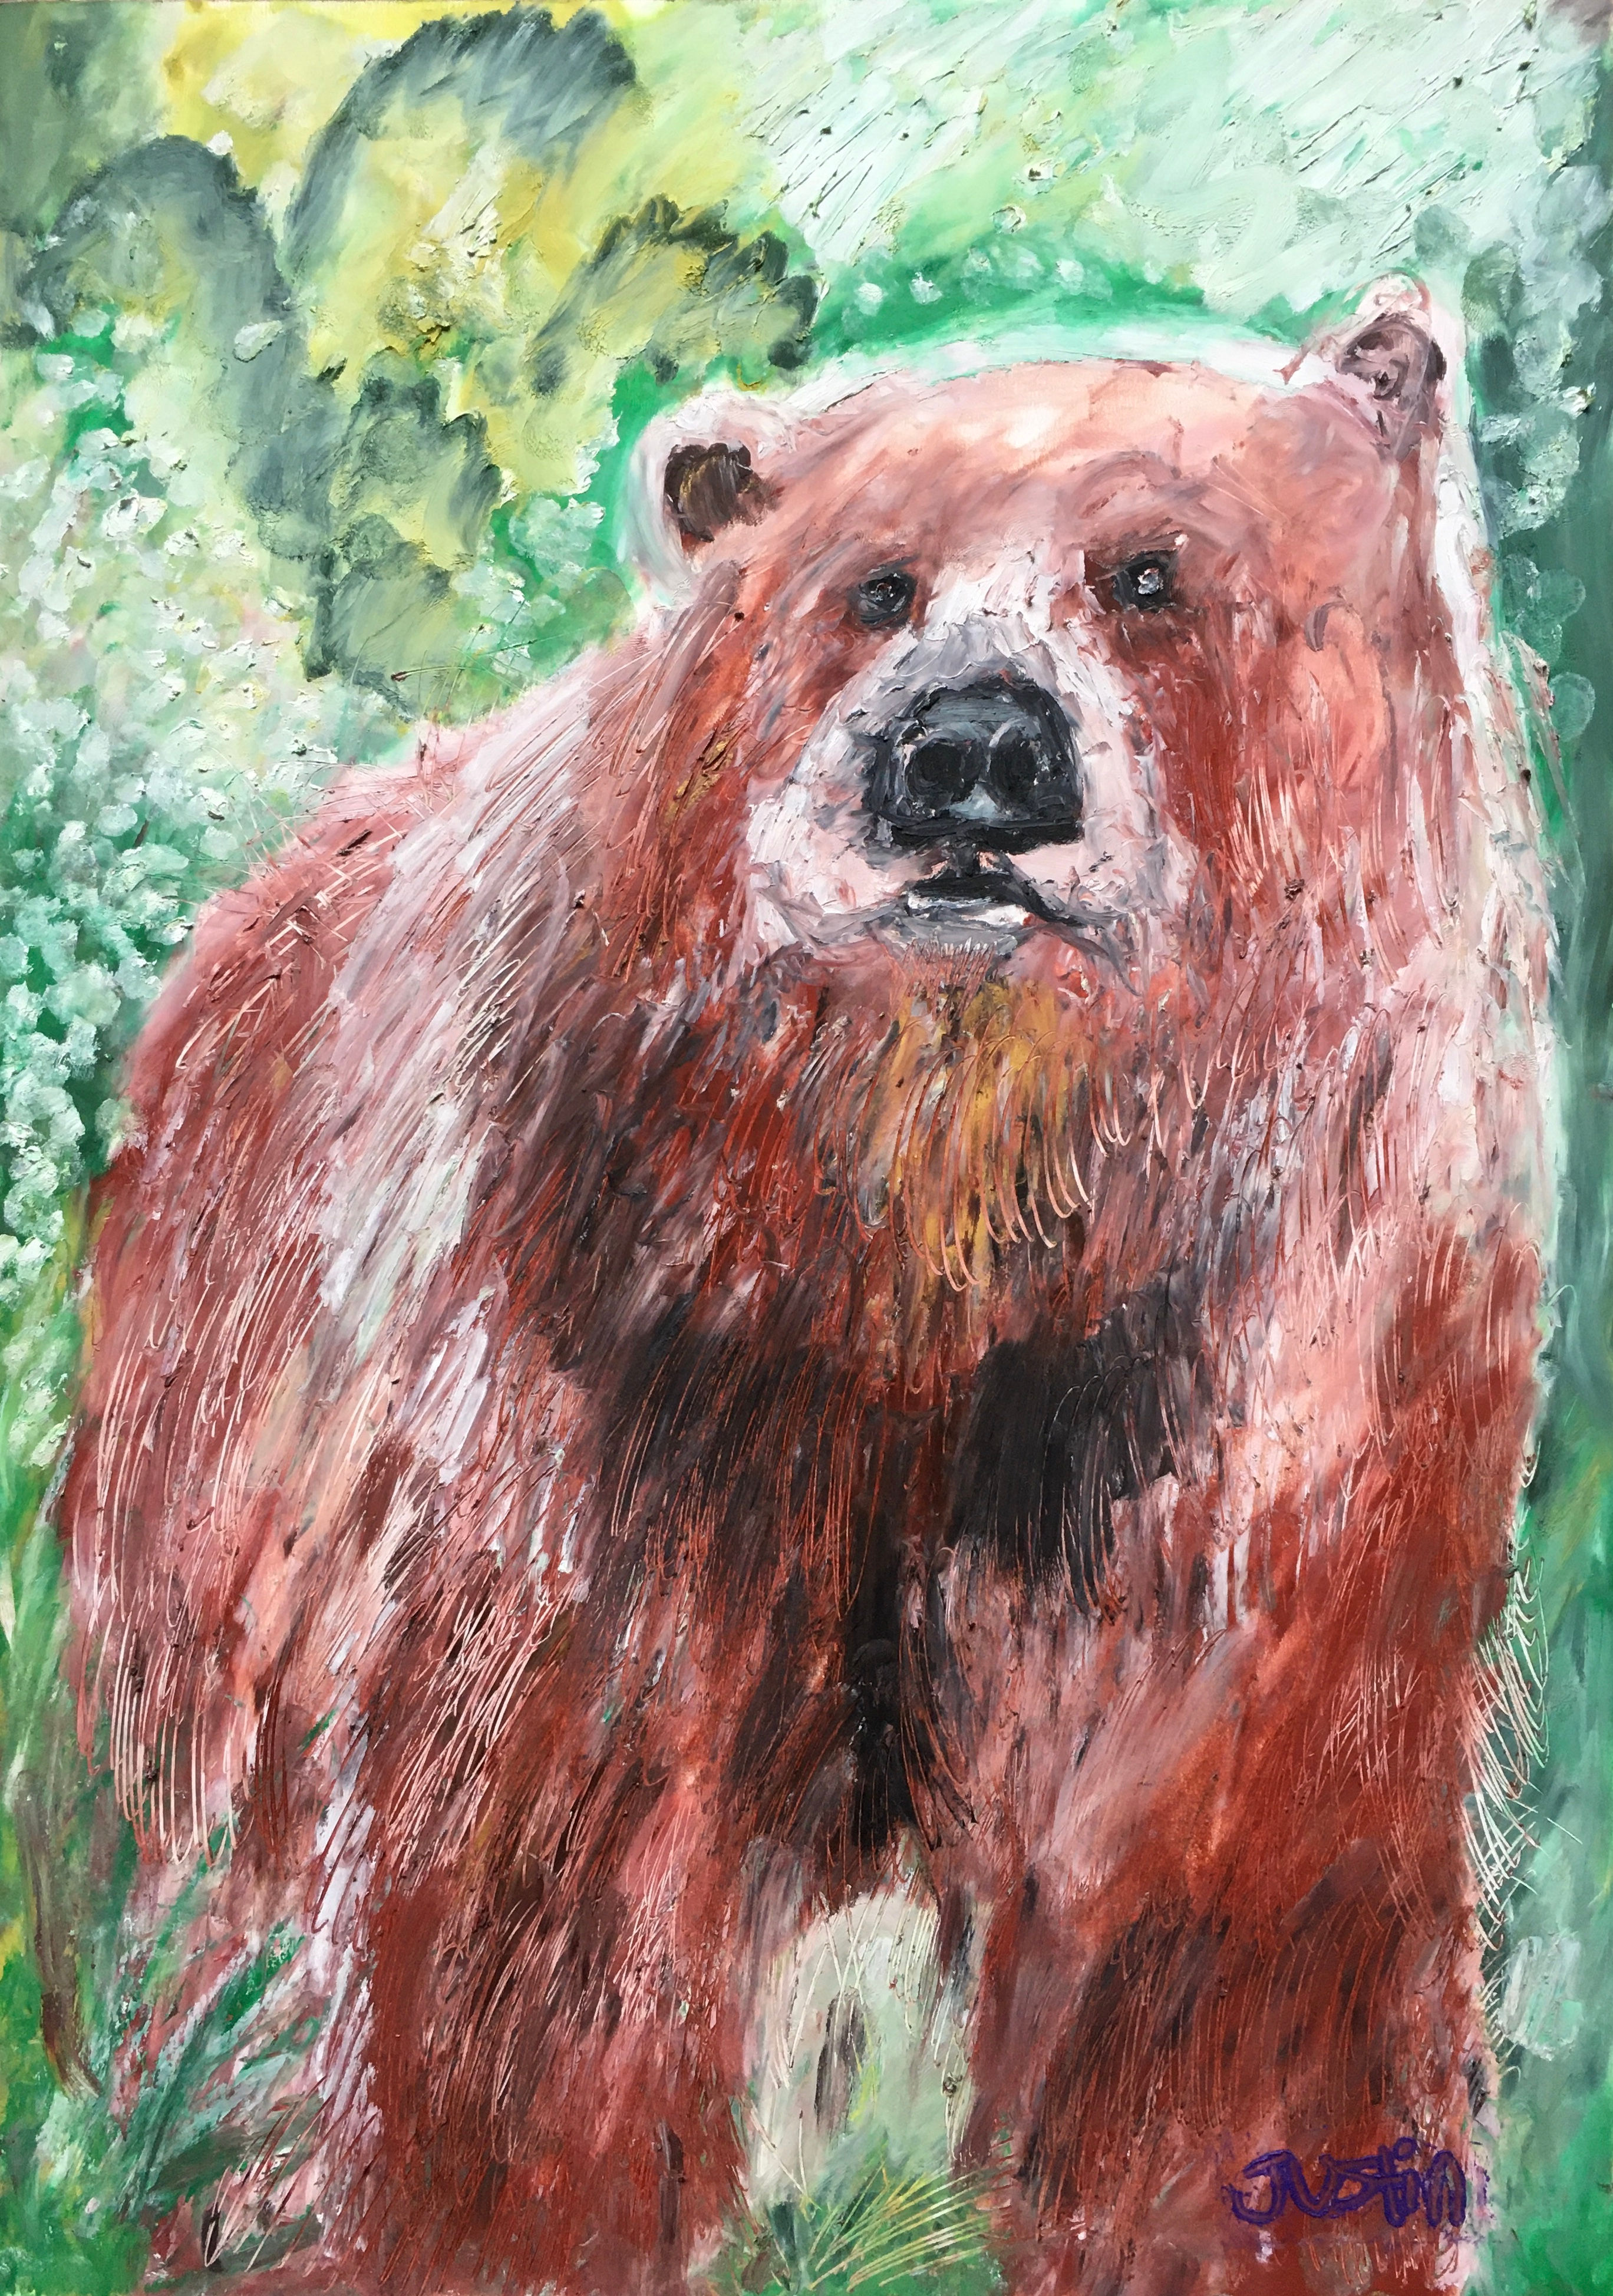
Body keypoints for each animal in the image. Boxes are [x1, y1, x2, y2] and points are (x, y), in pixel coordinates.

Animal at [58, 280, 1552, 2296]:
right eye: (874, 584)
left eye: (1152, 572)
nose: (971, 752)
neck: (948, 1237)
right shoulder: (627, 1388)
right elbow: (538, 1900)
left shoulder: (1259, 1400)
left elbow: (1224, 1933)